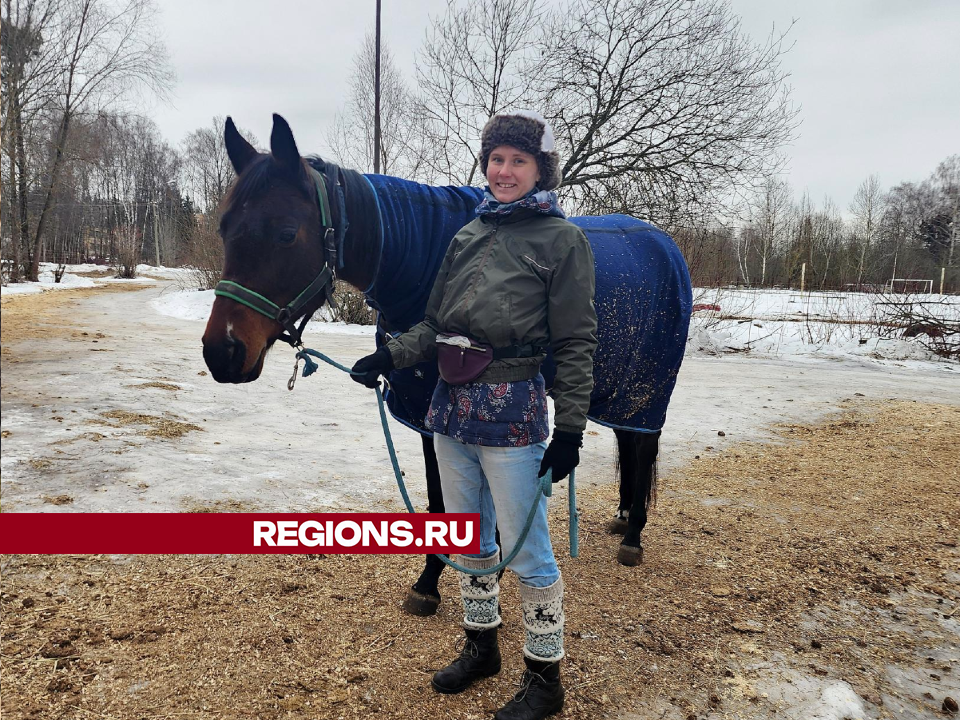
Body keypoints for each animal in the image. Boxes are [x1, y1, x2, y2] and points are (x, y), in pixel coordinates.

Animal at [202, 115, 688, 616]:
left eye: (286, 233)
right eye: (224, 228)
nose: (221, 352)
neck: (422, 261)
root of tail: (665, 246)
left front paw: (457, 576)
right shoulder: (426, 415)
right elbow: (440, 500)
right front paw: (435, 580)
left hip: (649, 384)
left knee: (644, 445)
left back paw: (633, 536)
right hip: (617, 386)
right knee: (629, 441)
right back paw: (623, 517)